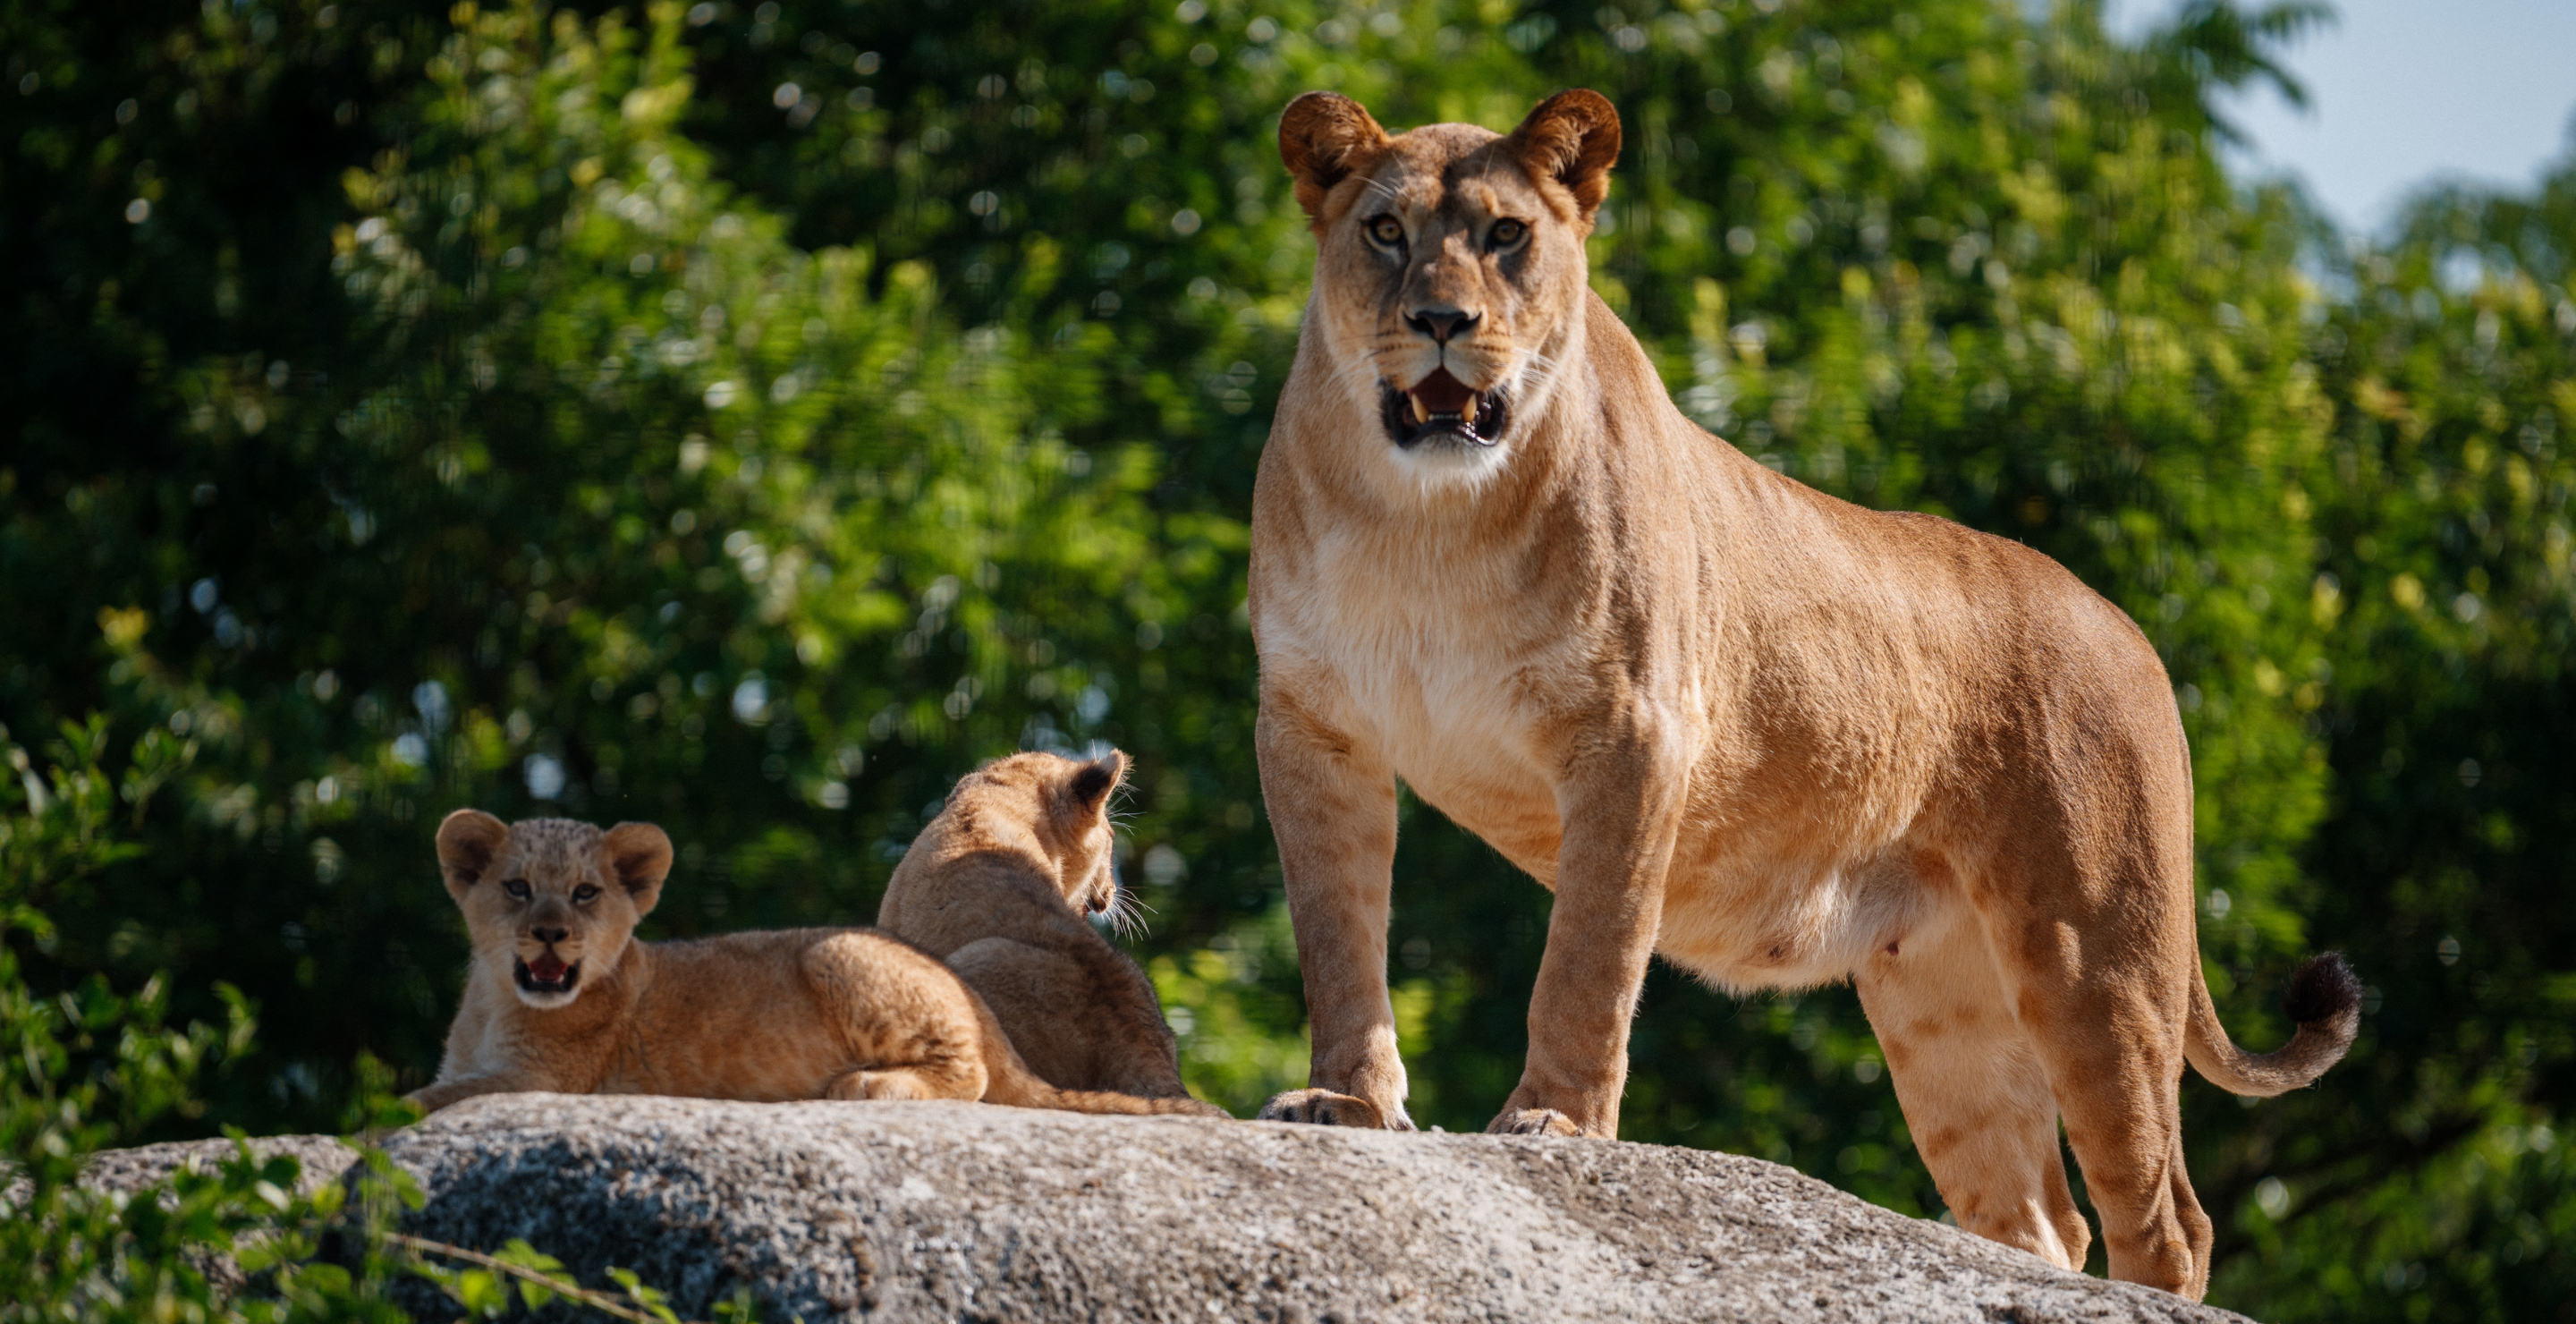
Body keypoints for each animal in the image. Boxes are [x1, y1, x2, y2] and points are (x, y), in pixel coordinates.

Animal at [408, 809, 1220, 1120]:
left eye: (585, 893)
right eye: (516, 888)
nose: (550, 936)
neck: (493, 1001)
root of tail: (982, 1010)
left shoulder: (544, 1078)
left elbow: (418, 1101)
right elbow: (432, 1089)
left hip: (840, 955)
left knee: (973, 1076)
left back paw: (863, 1084)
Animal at [1244, 87, 2360, 1298]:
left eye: (1506, 235)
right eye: (1385, 231)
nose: (1444, 319)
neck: (1425, 520)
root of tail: (2132, 632)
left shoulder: (1635, 733)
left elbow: (1589, 953)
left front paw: (1556, 1124)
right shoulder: (1312, 728)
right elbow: (1338, 934)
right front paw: (1345, 1102)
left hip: (2097, 960)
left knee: (2166, 1220)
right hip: (1946, 1004)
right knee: (2040, 1220)